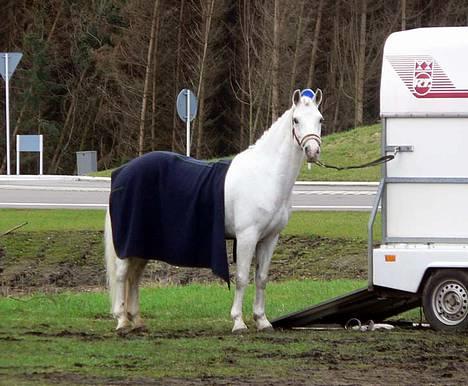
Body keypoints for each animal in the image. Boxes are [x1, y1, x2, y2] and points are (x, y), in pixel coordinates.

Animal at [105, 89, 322, 334]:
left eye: (320, 119)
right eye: (296, 120)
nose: (313, 151)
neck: (265, 174)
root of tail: (122, 173)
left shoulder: (269, 238)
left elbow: (261, 278)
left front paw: (262, 320)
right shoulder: (247, 237)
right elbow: (242, 278)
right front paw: (238, 322)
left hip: (142, 242)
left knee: (134, 276)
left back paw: (137, 321)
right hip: (128, 243)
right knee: (122, 274)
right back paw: (122, 321)